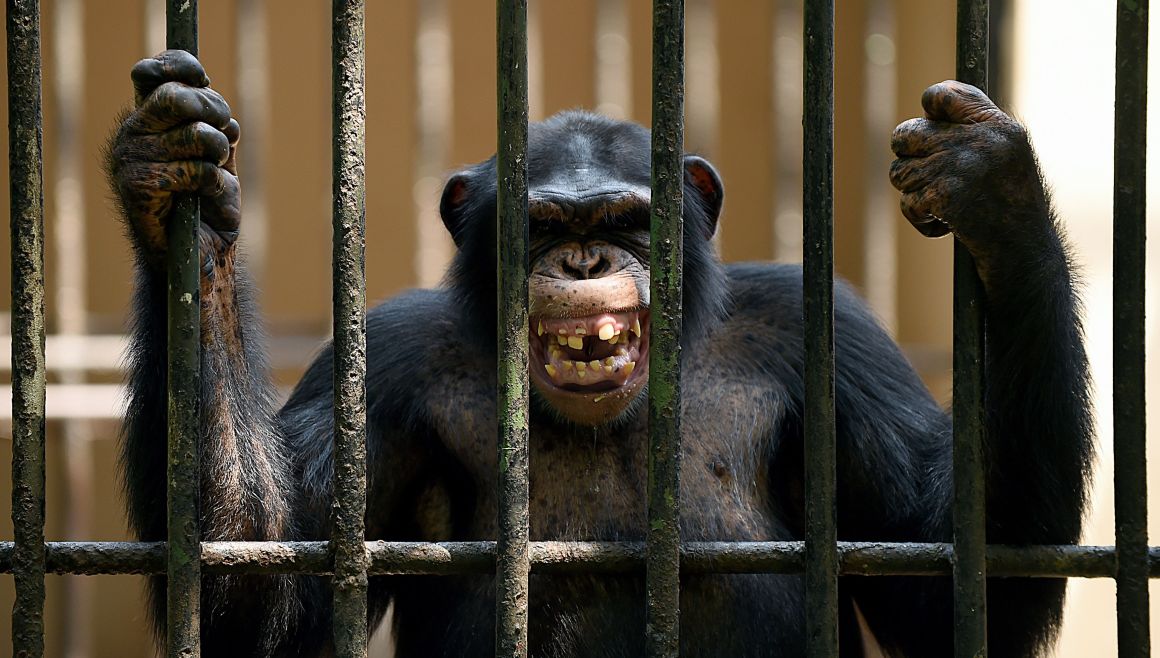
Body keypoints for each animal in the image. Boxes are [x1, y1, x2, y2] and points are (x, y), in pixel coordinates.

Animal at [104, 51, 1090, 658]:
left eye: (625, 218)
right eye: (544, 227)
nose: (583, 261)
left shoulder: (833, 340)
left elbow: (956, 577)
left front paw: (994, 189)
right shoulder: (383, 363)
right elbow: (259, 594)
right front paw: (175, 185)